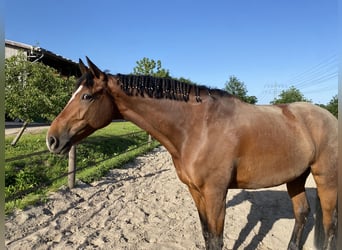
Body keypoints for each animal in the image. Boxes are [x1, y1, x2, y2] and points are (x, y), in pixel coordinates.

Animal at [46, 57, 338, 249]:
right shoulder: (196, 192)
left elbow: (217, 240)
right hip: (296, 177)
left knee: (329, 225)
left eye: (87, 97)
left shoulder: (215, 193)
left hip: (326, 180)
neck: (197, 128)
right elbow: (206, 235)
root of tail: (329, 116)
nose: (52, 139)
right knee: (302, 214)